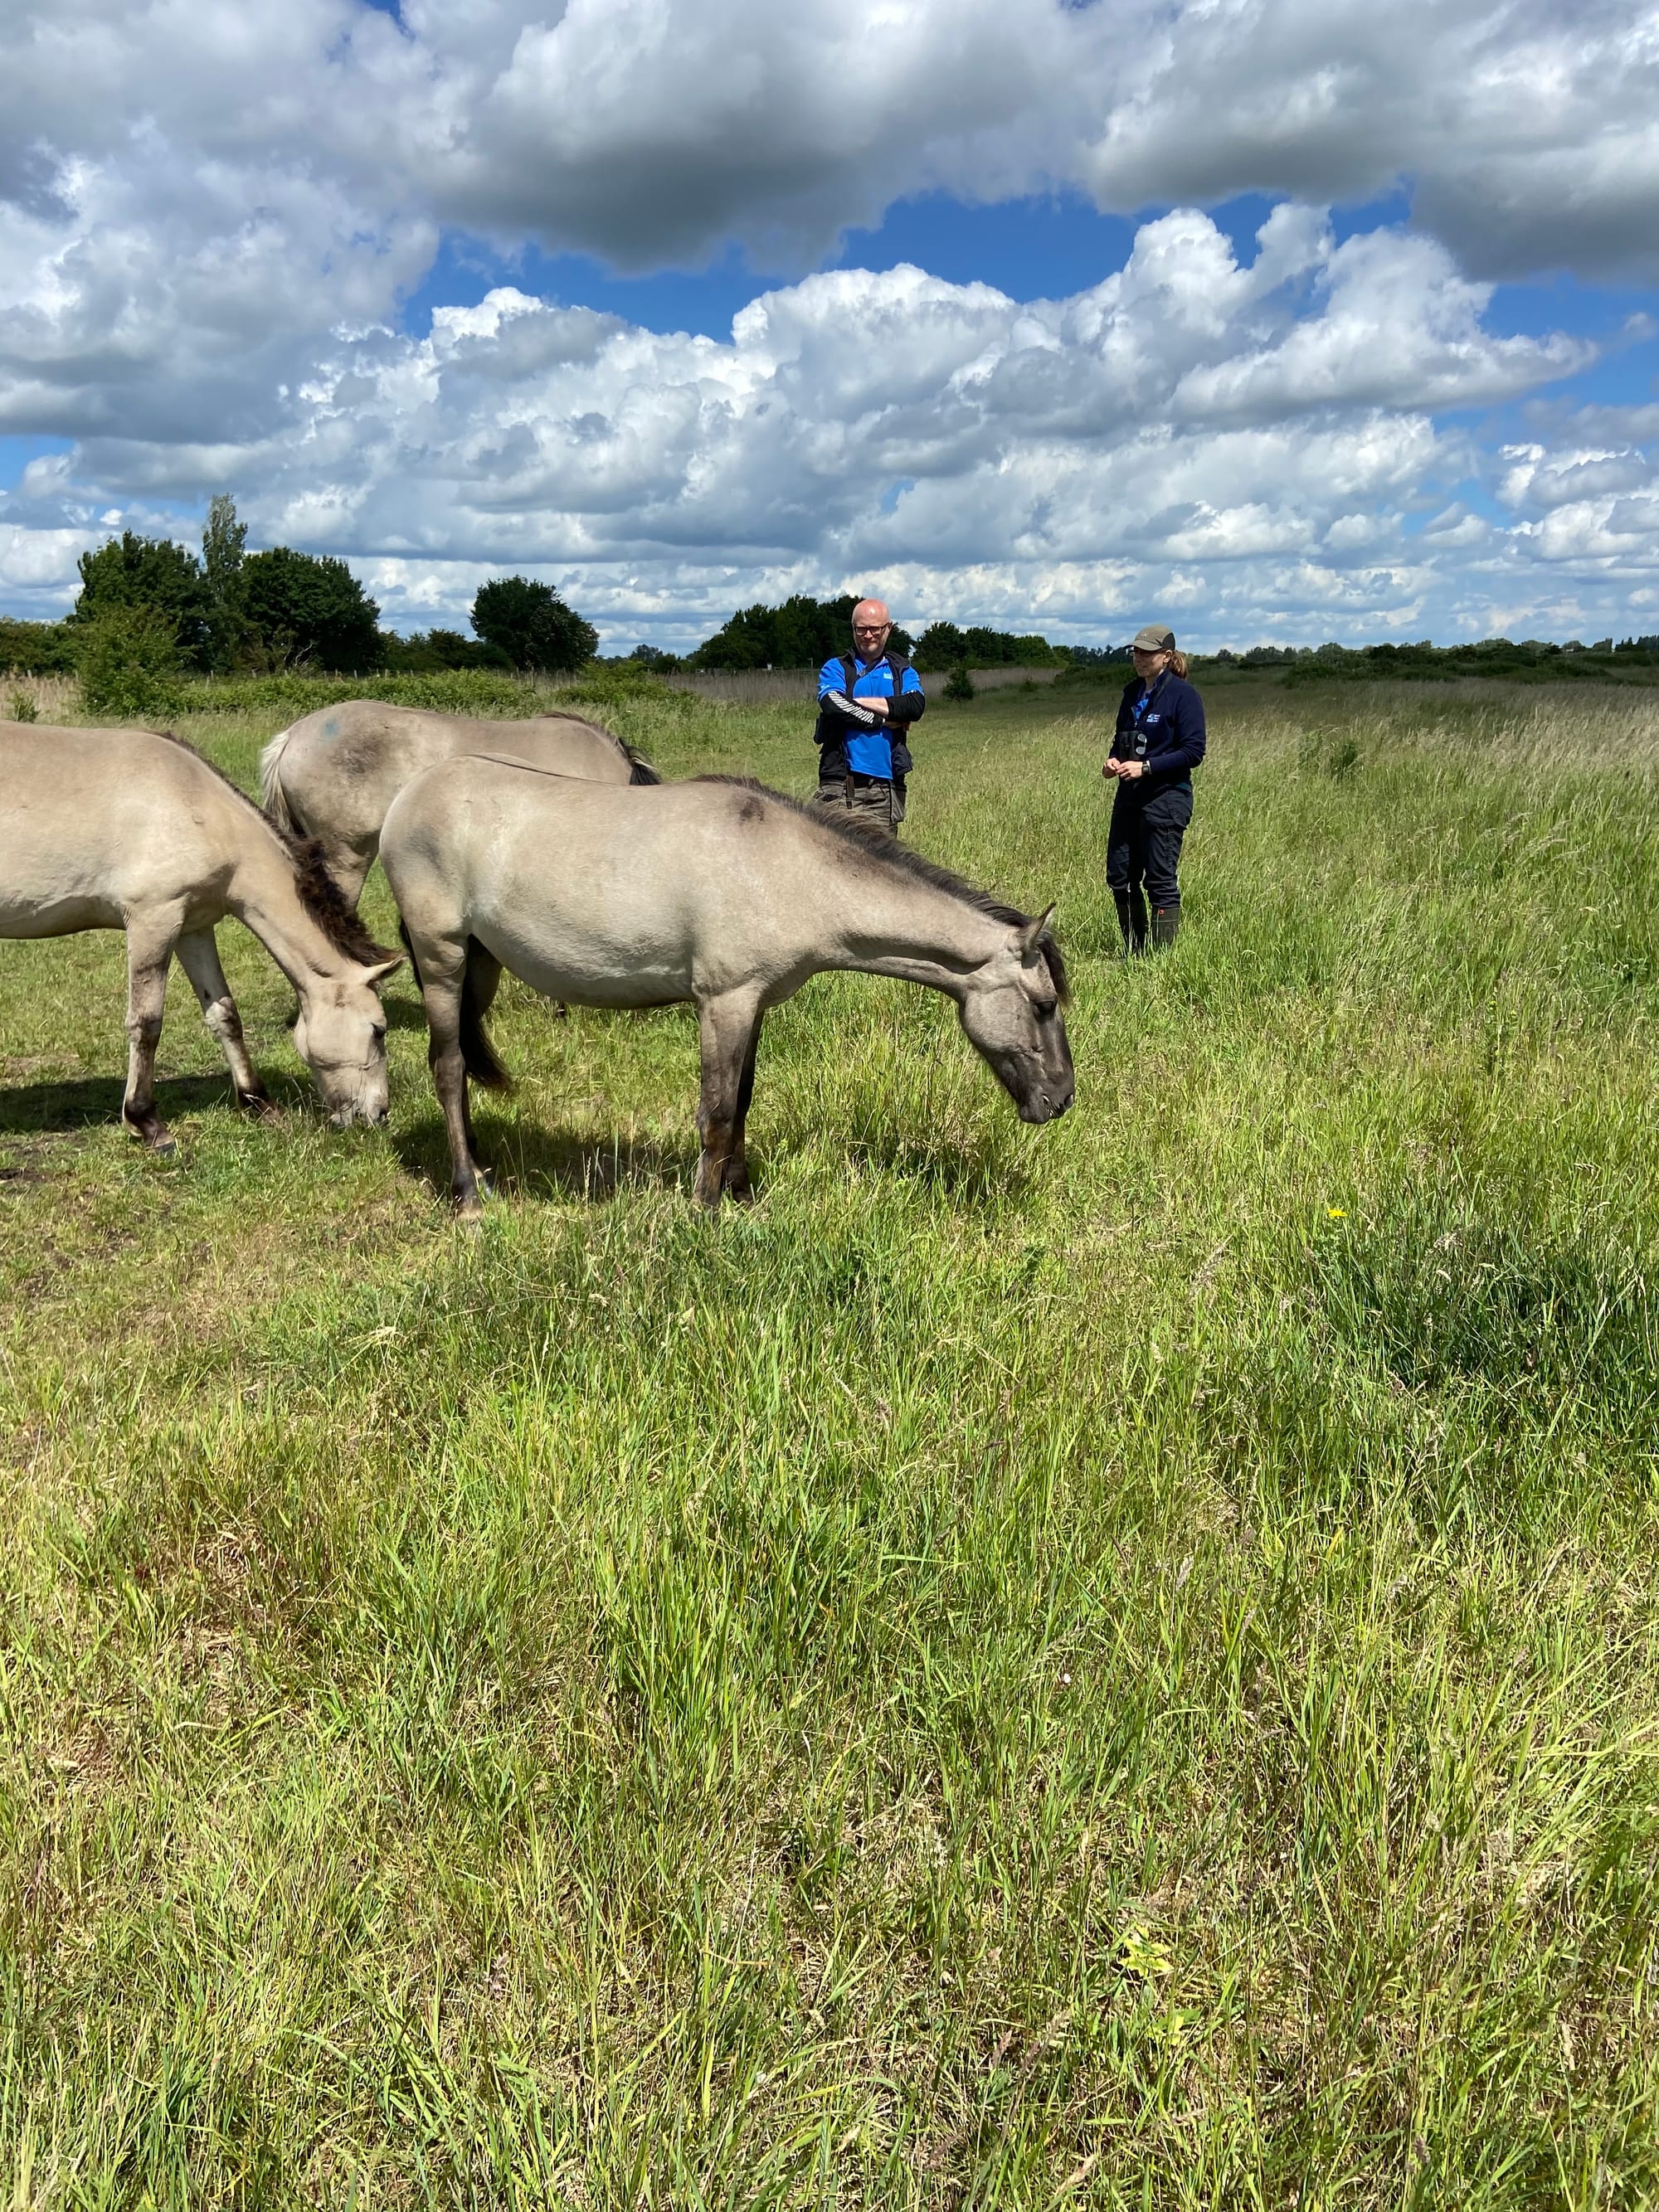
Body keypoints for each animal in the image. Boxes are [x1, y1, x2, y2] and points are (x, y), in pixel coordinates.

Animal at [0, 725, 402, 1150]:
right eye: (378, 1030)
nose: (378, 1114)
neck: (196, 806)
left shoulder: (192, 928)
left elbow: (224, 1014)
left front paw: (259, 1103)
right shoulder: (153, 920)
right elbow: (146, 1023)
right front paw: (147, 1122)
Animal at [376, 761, 1079, 1212]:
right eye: (1044, 1005)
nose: (1062, 1100)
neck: (788, 870)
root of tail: (408, 796)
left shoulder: (754, 1005)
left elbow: (740, 1102)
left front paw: (741, 1196)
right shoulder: (724, 1003)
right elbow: (714, 1112)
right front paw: (706, 1210)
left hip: (480, 963)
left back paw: (482, 1165)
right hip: (442, 959)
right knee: (447, 1066)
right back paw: (468, 1192)